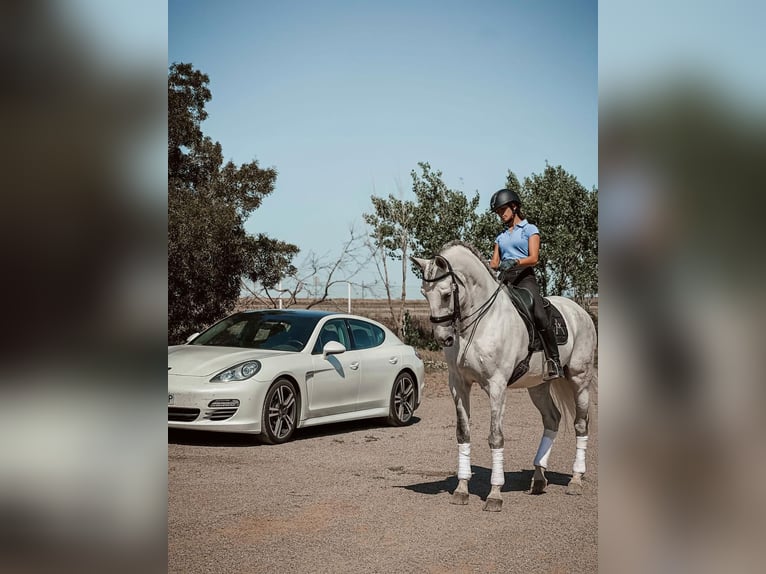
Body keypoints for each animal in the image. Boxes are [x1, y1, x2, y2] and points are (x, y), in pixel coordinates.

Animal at [414, 242, 600, 512]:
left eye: (447, 294)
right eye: (424, 293)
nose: (443, 338)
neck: (479, 323)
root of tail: (580, 311)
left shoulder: (497, 385)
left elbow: (495, 437)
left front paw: (495, 494)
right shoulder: (458, 385)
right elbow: (463, 433)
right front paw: (461, 489)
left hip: (579, 378)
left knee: (580, 424)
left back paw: (575, 480)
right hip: (538, 385)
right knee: (552, 419)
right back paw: (539, 478)